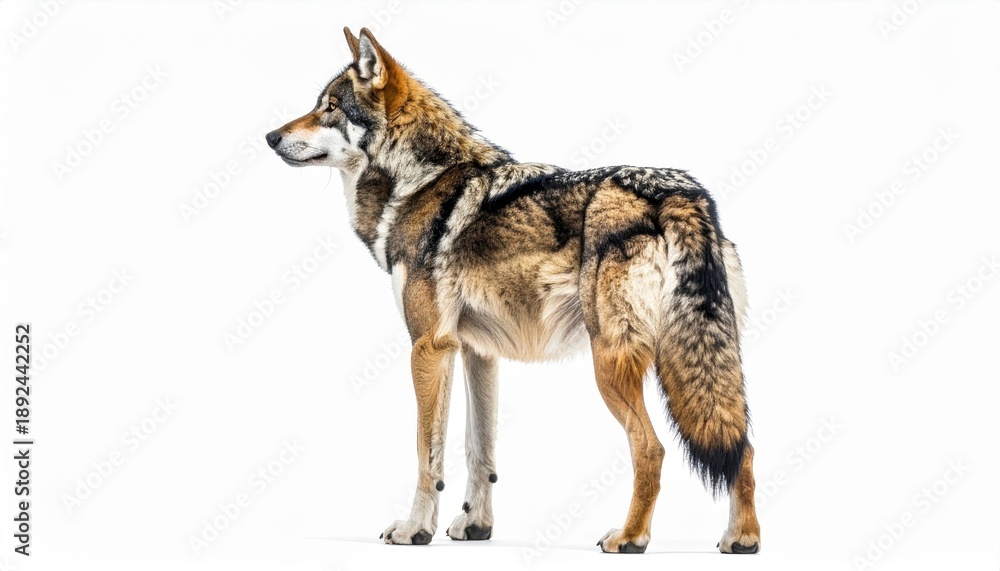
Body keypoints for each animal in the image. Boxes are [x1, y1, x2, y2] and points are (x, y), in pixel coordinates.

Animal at [266, 27, 761, 554]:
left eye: (330, 107)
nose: (270, 137)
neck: (418, 182)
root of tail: (682, 194)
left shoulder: (427, 347)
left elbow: (426, 452)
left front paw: (414, 530)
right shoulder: (476, 352)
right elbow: (478, 450)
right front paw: (474, 527)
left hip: (610, 362)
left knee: (652, 448)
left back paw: (629, 537)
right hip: (698, 360)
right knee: (744, 448)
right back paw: (742, 538)